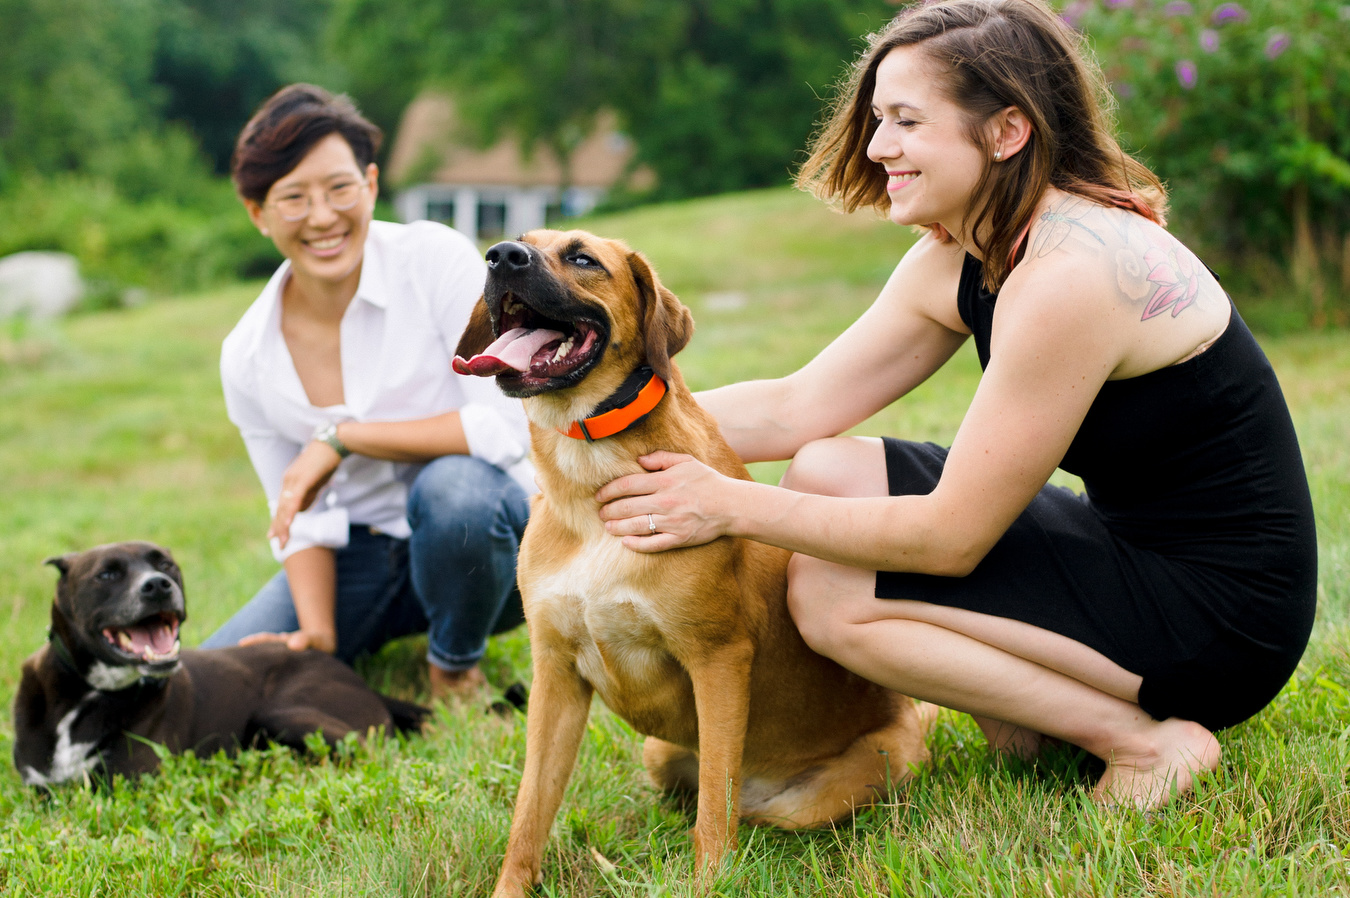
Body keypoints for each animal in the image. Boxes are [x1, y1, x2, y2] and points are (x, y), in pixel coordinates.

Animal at [11, 540, 426, 783]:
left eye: (166, 564)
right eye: (107, 574)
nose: (158, 585)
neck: (92, 692)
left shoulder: (131, 781)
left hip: (283, 713)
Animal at [453, 229, 928, 891]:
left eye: (582, 258)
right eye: (519, 244)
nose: (500, 255)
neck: (590, 477)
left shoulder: (718, 659)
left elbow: (714, 808)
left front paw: (708, 883)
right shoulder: (554, 674)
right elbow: (530, 812)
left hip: (821, 793)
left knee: (745, 808)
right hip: (658, 751)